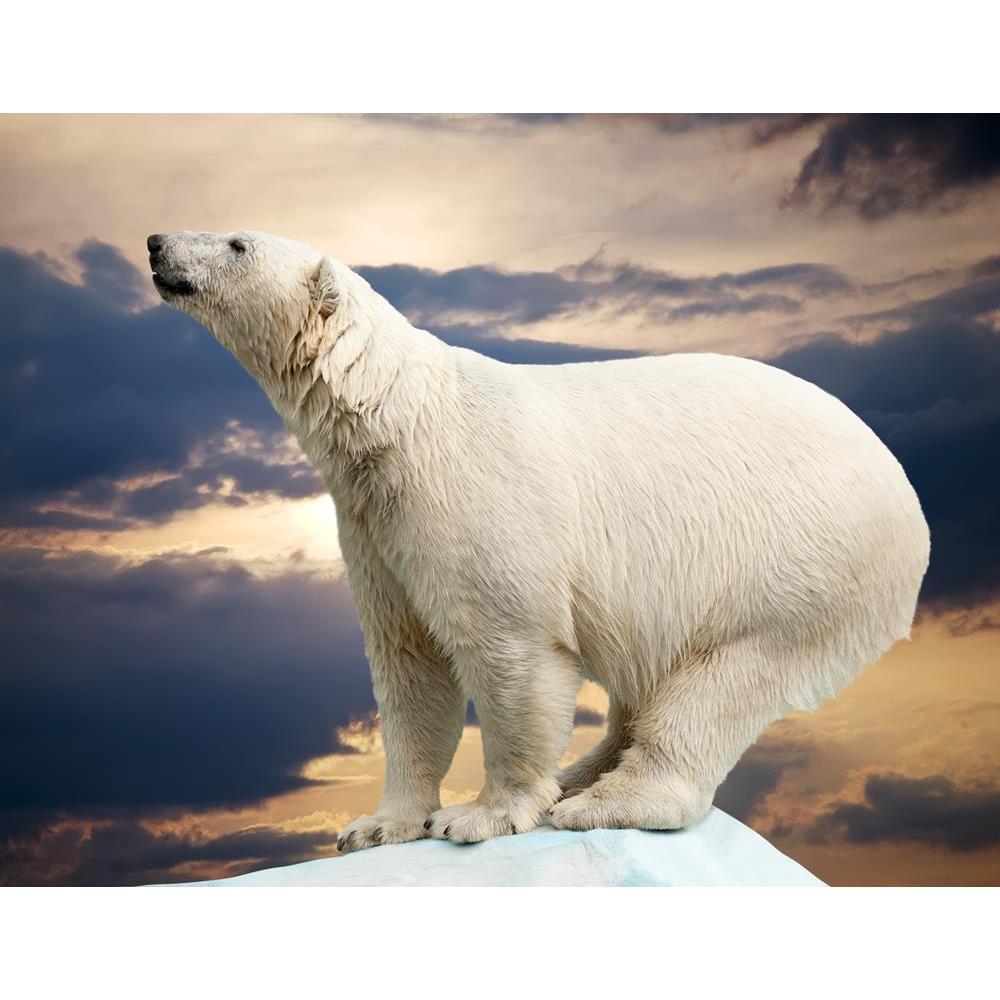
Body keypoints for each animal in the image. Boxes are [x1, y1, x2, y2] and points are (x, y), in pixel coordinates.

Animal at [148, 229, 931, 852]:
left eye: (236, 243)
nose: (156, 243)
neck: (401, 418)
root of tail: (910, 503)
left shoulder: (474, 501)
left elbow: (510, 651)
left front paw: (481, 814)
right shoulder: (375, 526)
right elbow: (408, 665)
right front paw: (378, 824)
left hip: (805, 556)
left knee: (731, 676)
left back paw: (606, 801)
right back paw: (582, 775)